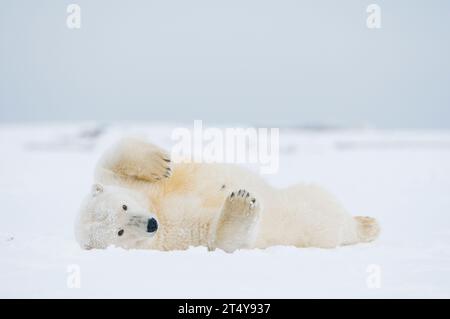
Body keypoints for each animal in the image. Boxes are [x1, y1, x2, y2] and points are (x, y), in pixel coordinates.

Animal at [74, 138, 380, 252]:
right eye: (119, 232)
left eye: (124, 206)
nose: (151, 224)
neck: (157, 208)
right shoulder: (173, 239)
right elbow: (219, 239)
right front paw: (242, 201)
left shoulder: (125, 185)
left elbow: (111, 156)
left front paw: (161, 163)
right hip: (308, 221)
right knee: (328, 218)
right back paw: (367, 226)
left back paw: (367, 221)